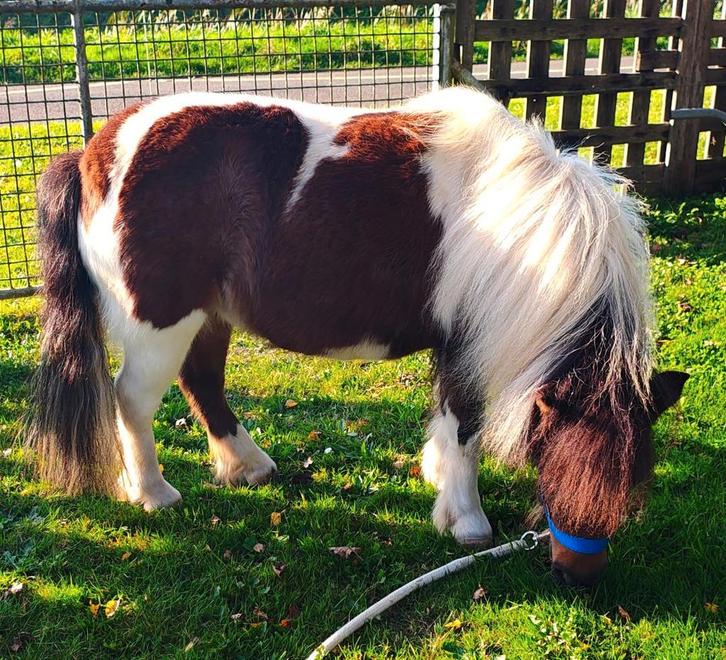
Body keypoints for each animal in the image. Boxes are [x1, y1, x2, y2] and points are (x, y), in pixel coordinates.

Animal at [26, 86, 687, 587]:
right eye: (558, 467)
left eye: (633, 482)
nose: (577, 577)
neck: (527, 222)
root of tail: (93, 152)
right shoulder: (467, 344)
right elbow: (466, 426)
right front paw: (467, 520)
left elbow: (446, 418)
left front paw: (437, 477)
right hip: (161, 324)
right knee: (133, 401)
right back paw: (153, 492)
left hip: (208, 318)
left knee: (203, 383)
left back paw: (248, 466)